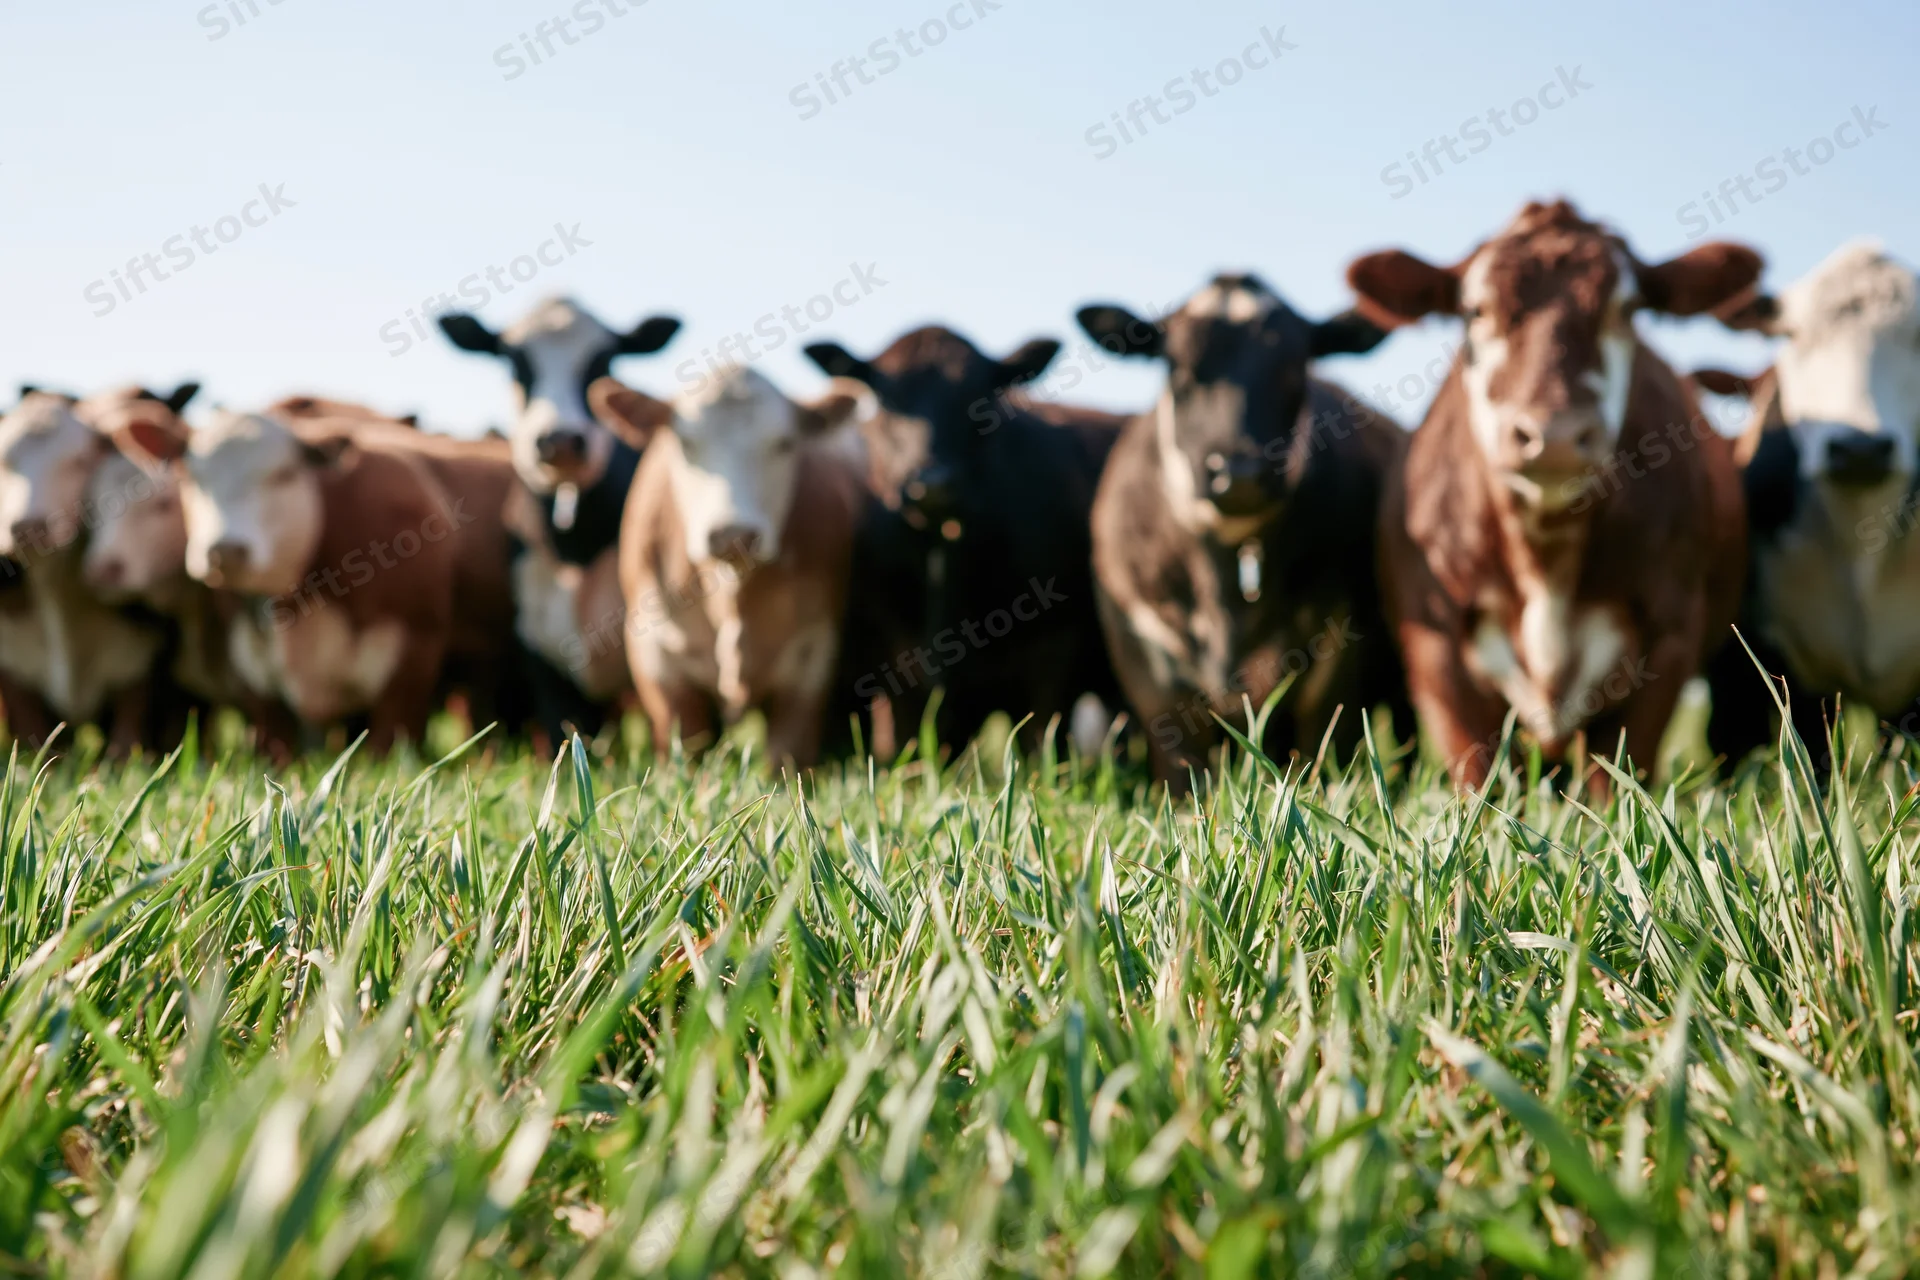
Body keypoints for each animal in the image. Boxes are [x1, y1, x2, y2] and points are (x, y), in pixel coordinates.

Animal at [589, 369, 865, 767]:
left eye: (785, 443)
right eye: (686, 443)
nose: (733, 534)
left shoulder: (812, 657)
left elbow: (786, 758)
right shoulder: (656, 656)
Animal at [802, 326, 1122, 756]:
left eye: (981, 396)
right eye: (886, 397)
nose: (933, 483)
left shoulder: (1056, 650)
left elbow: (1041, 743)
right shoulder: (894, 652)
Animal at [1074, 273, 1407, 788]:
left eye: (1294, 368)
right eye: (1178, 369)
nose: (1240, 472)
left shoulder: (1339, 643)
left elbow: (1325, 741)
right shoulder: (1142, 648)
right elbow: (1180, 763)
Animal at [1345, 198, 1759, 789]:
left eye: (1628, 309)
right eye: (1475, 310)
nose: (1555, 433)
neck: (1546, 559)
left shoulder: (1670, 635)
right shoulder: (1436, 648)